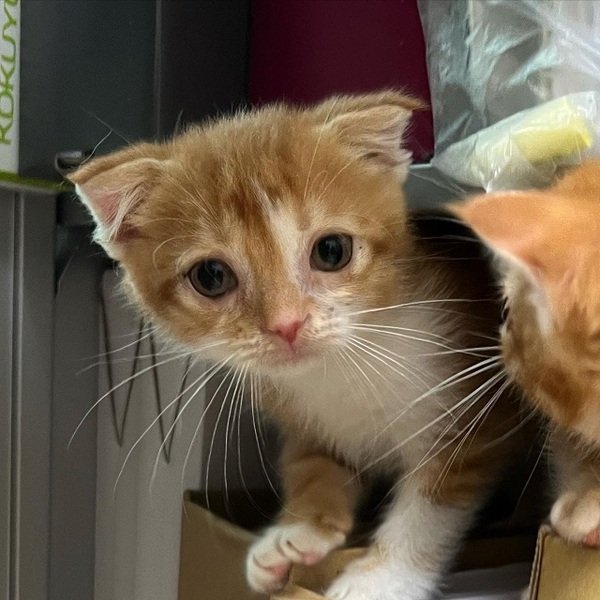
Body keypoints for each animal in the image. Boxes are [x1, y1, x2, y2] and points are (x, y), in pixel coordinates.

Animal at [69, 91, 522, 600]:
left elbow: (431, 506)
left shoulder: (472, 414)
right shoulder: (298, 416)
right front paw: (296, 531)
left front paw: (381, 576)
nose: (287, 325)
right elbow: (311, 462)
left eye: (332, 251)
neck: (336, 369)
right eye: (211, 276)